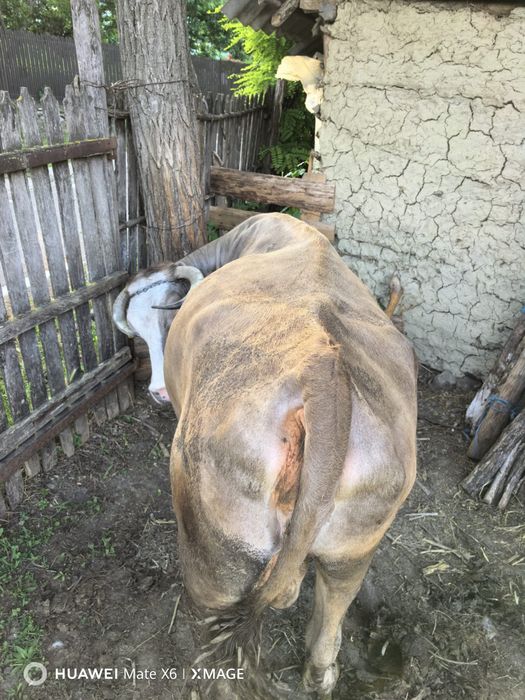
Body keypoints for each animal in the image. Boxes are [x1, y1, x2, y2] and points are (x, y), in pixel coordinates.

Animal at [113, 213, 417, 698]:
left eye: (165, 320)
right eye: (138, 331)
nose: (158, 391)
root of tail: (323, 367)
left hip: (217, 559)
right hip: (355, 545)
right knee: (335, 602)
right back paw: (322, 670)